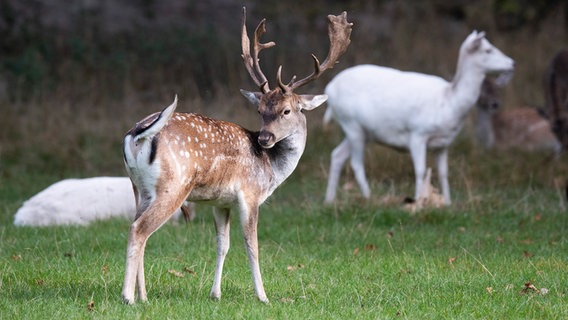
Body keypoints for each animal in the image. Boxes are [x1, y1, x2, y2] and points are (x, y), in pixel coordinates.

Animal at [120, 8, 350, 304]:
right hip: (173, 186)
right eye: (260, 110)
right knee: (139, 229)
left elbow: (223, 245)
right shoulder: (249, 194)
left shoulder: (221, 201)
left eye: (286, 110)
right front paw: (263, 296)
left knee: (137, 226)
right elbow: (252, 246)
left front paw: (215, 293)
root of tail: (136, 134)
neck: (271, 170)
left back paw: (144, 295)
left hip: (139, 188)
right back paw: (128, 297)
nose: (264, 138)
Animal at [324, 30, 516, 205]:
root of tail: (329, 88)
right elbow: (420, 170)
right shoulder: (417, 133)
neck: (448, 102)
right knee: (356, 163)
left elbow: (444, 173)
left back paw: (329, 200)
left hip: (363, 132)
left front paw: (447, 203)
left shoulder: (443, 144)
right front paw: (417, 201)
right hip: (352, 124)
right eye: (488, 50)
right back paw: (368, 197)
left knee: (337, 155)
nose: (512, 62)